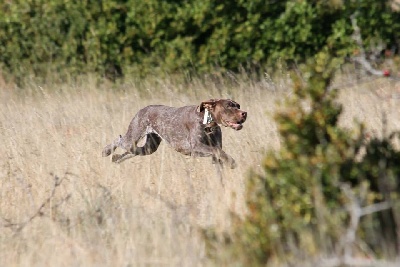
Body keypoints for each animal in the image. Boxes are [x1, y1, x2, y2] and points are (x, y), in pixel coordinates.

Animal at [102, 99, 247, 169]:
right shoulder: (196, 147)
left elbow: (219, 156)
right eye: (229, 106)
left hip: (149, 147)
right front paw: (232, 162)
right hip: (133, 136)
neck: (208, 124)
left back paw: (115, 158)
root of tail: (142, 109)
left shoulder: (214, 155)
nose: (244, 113)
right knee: (120, 140)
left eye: (238, 105)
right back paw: (106, 151)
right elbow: (217, 151)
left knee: (131, 151)